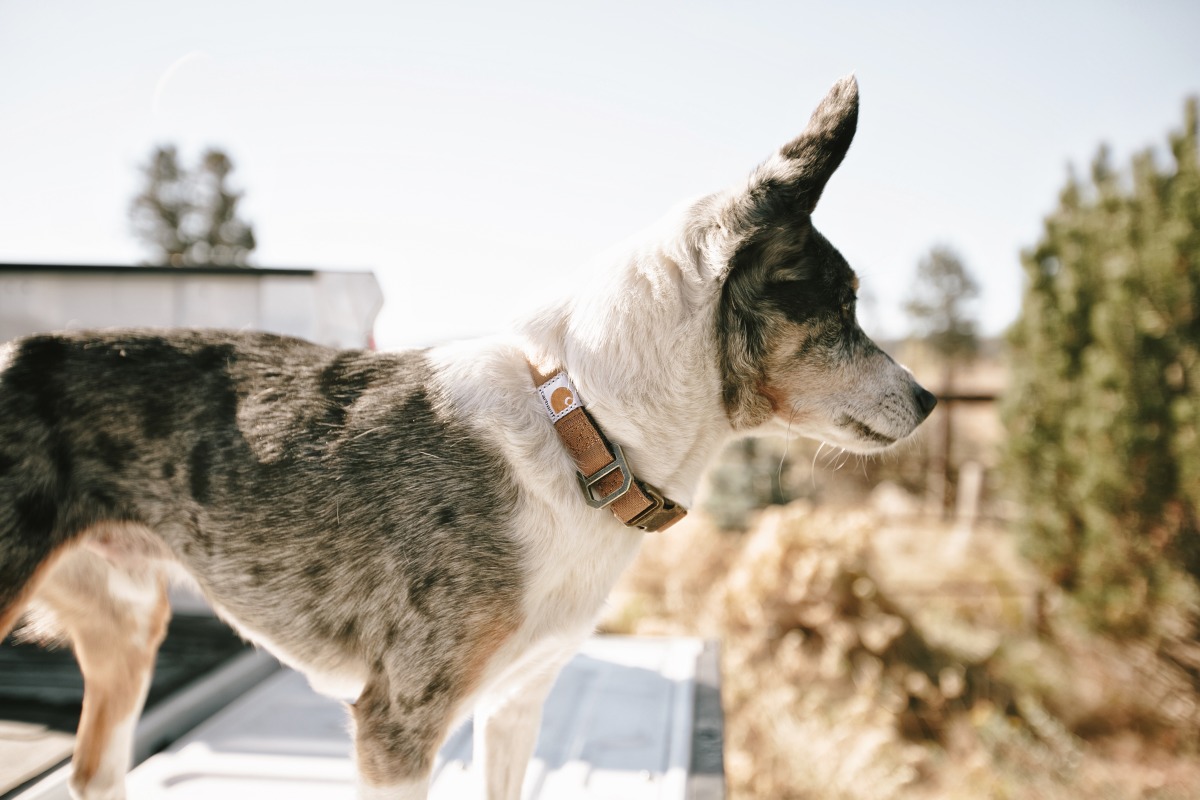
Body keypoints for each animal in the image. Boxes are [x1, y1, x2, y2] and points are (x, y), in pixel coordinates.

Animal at [0, 76, 936, 800]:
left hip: (130, 629)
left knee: (93, 774)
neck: (584, 430)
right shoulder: (399, 726)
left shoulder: (516, 701)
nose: (929, 400)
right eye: (842, 307)